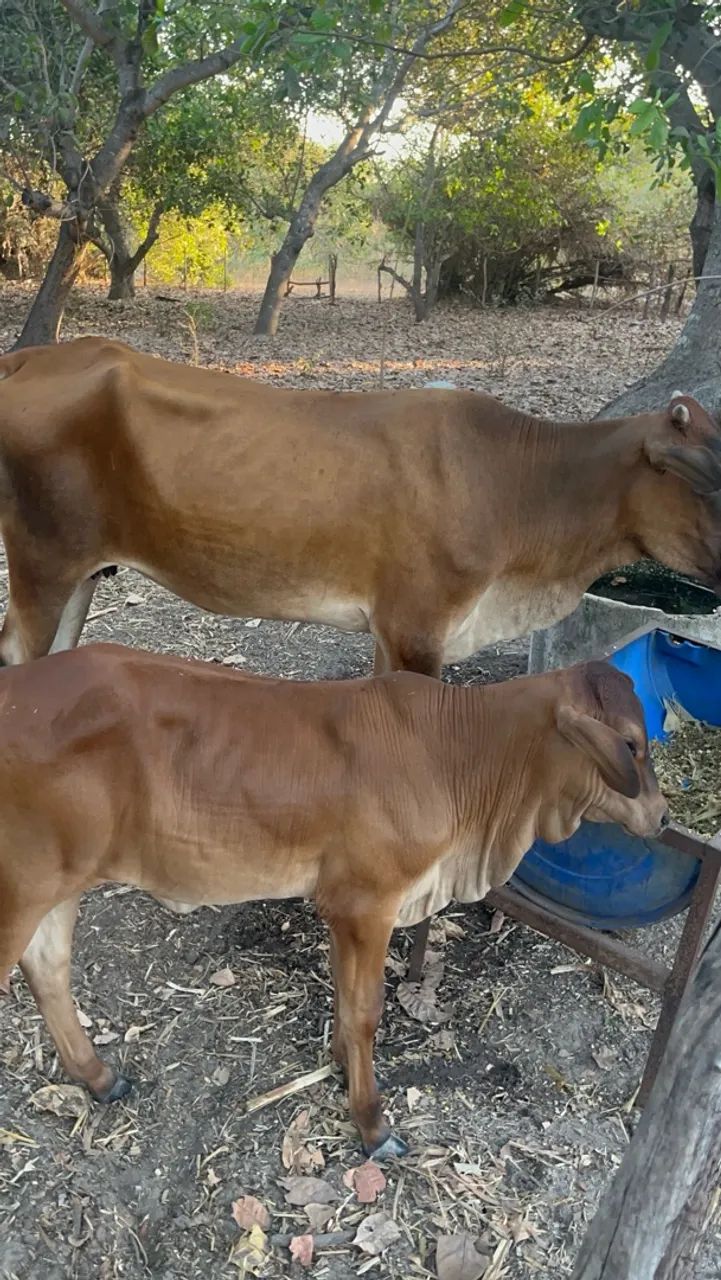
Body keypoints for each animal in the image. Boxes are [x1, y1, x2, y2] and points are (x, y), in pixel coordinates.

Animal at [0, 338, 719, 674]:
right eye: (704, 478)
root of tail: (35, 354)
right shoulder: (417, 629)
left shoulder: (391, 629)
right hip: (42, 561)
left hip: (81, 571)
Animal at [0, 644, 668, 1157]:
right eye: (632, 744)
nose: (662, 817)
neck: (461, 756)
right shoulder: (368, 904)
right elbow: (366, 1010)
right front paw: (372, 1124)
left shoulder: (343, 908)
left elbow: (345, 1003)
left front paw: (343, 1069)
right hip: (22, 890)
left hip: (59, 883)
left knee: (49, 968)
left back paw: (98, 1077)